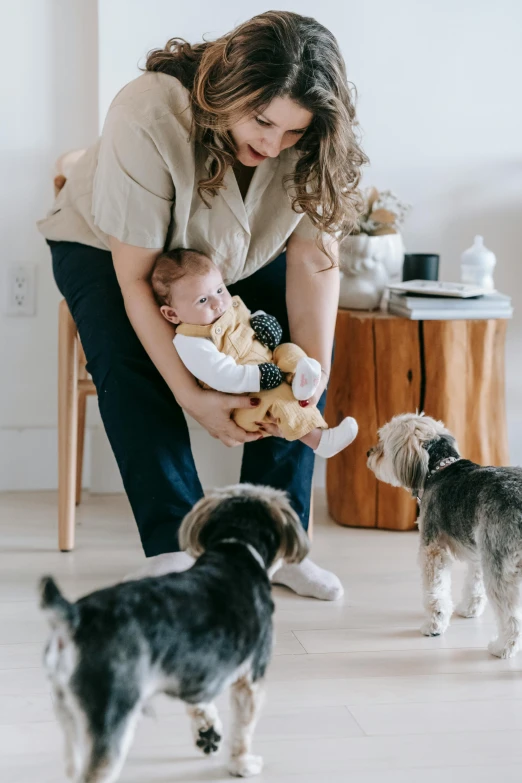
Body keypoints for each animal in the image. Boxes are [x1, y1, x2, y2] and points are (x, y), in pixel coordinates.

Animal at [42, 484, 308, 783]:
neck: (237, 548)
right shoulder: (250, 679)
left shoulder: (196, 670)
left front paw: (208, 732)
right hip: (113, 707)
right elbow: (243, 728)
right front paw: (241, 764)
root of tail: (74, 618)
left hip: (68, 708)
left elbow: (199, 702)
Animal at [366, 416, 520, 660]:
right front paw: (469, 609)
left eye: (383, 442)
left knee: (511, 616)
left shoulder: (433, 550)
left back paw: (503, 647)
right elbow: (474, 585)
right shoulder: (478, 550)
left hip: (501, 565)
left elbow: (435, 593)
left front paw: (434, 626)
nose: (368, 453)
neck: (440, 469)